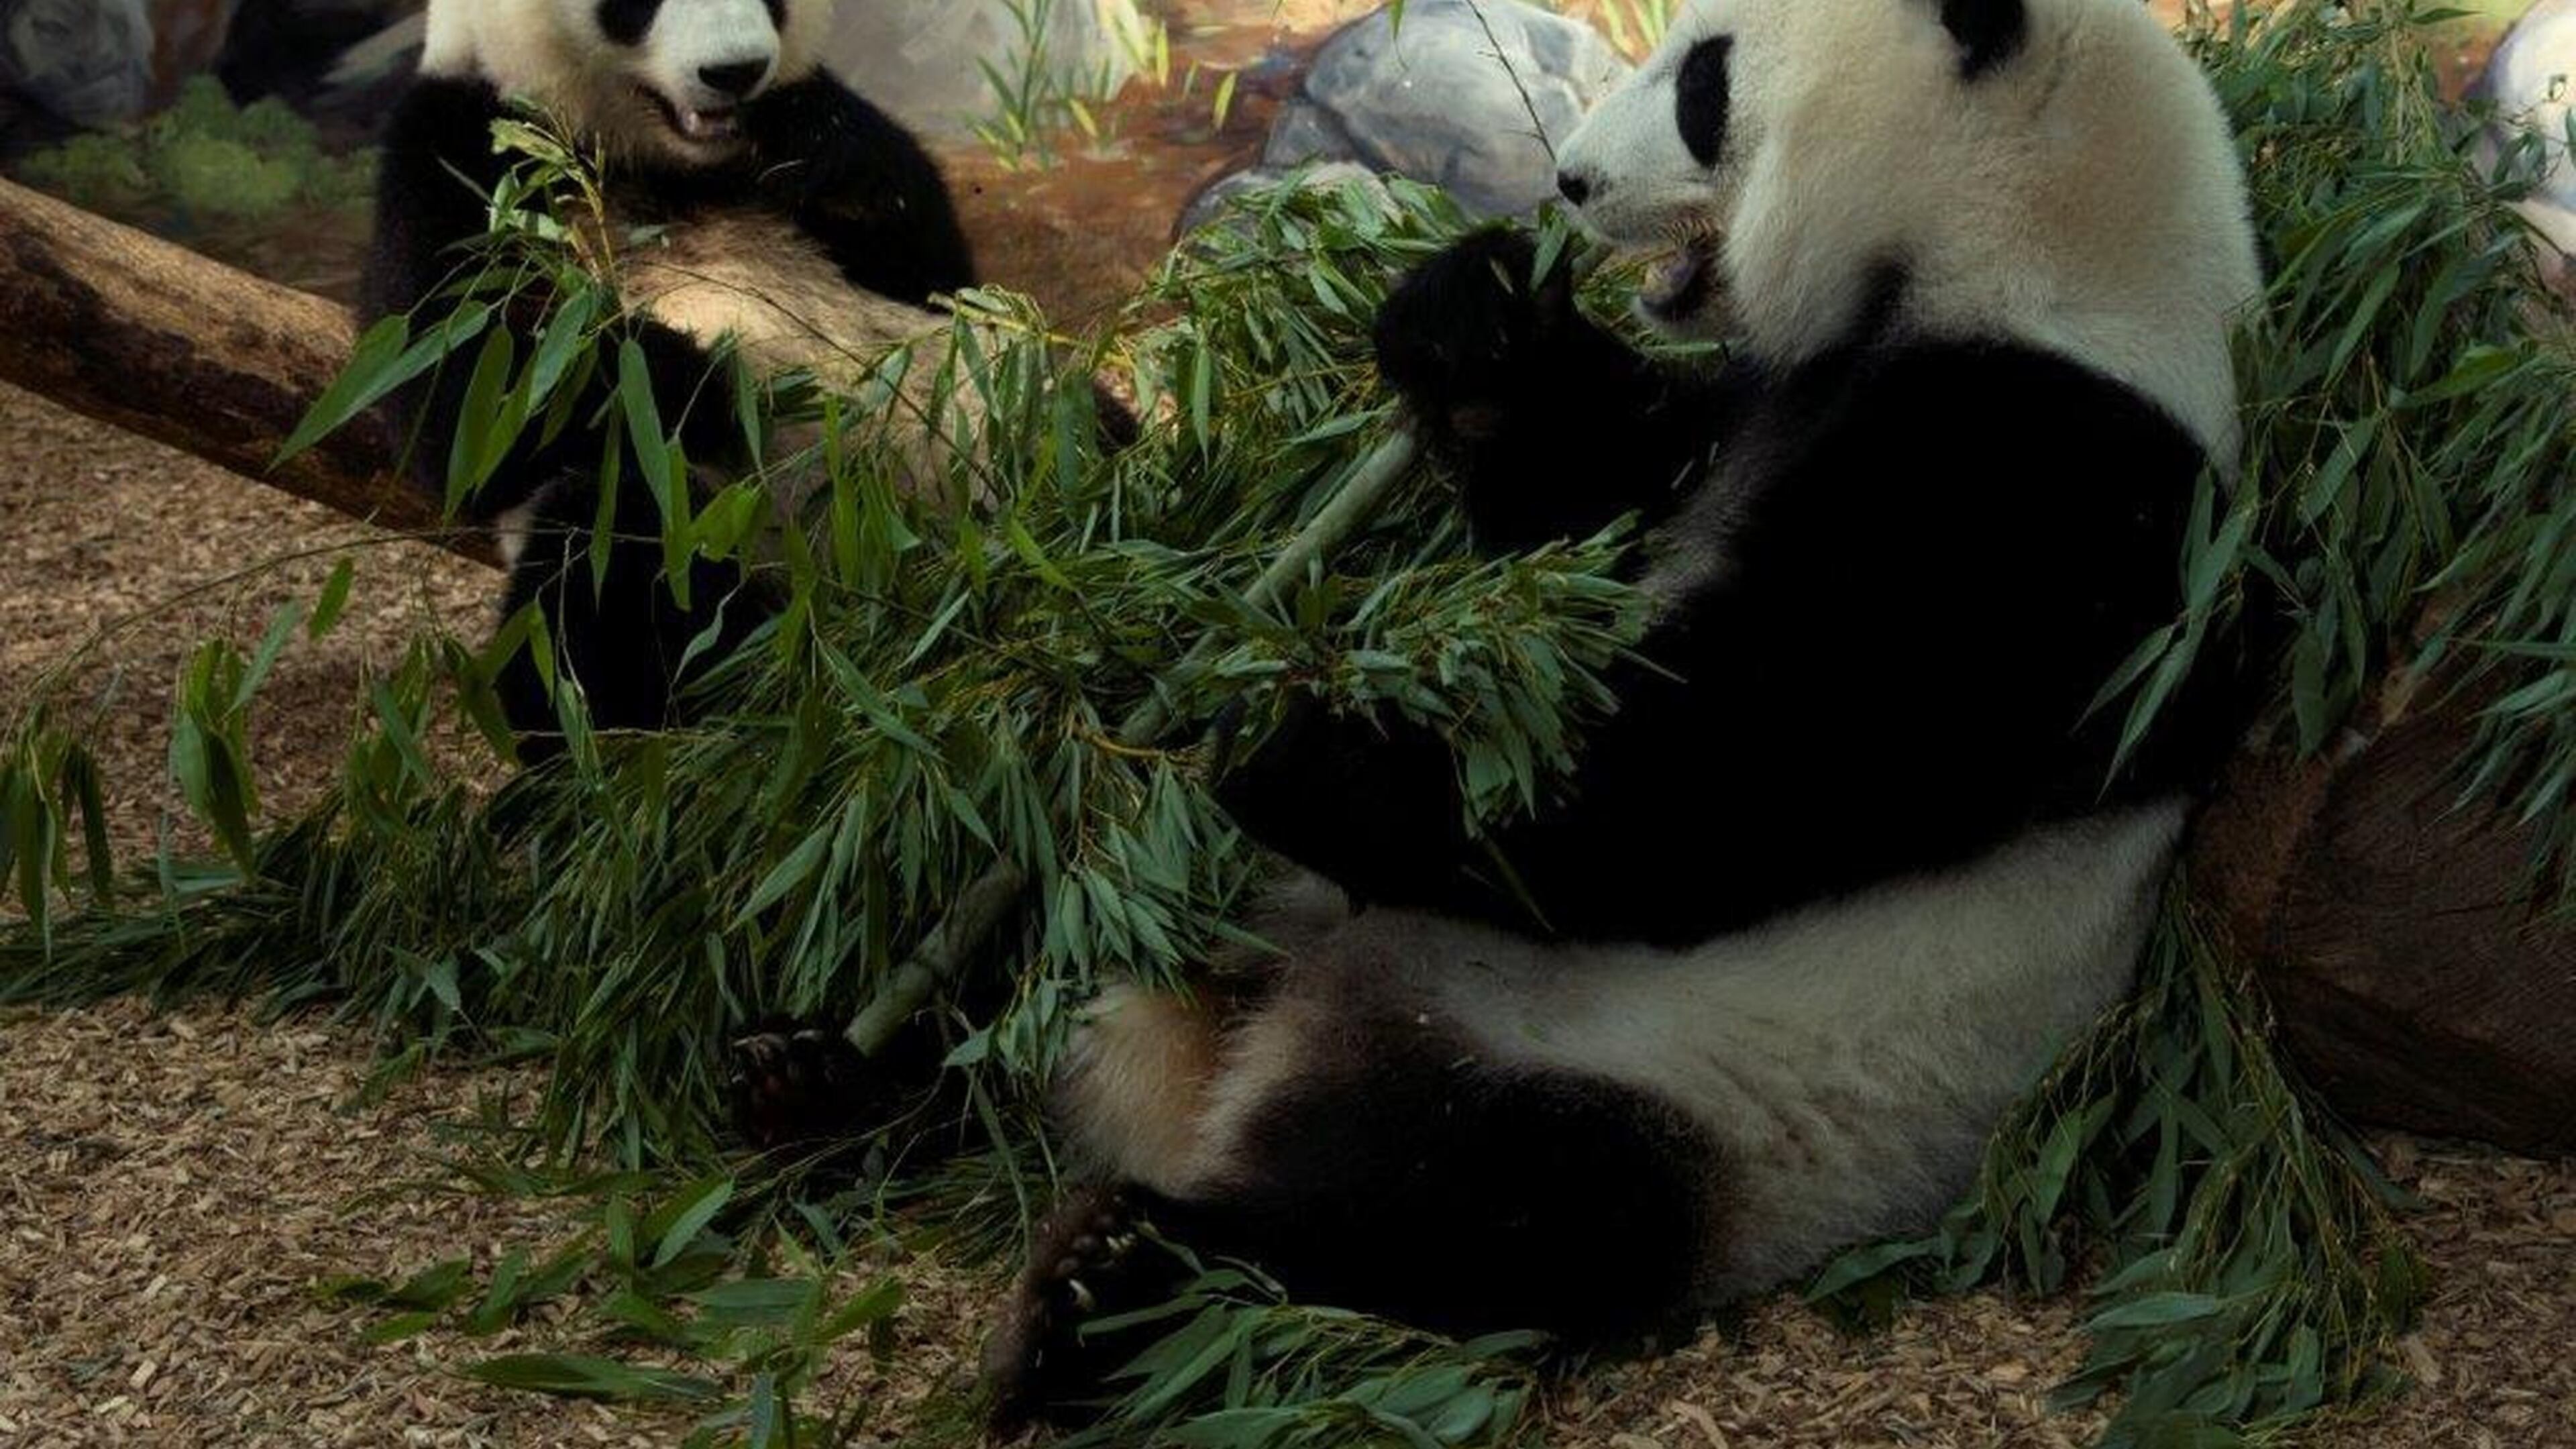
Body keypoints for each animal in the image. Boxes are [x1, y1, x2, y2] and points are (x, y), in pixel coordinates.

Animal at [360, 0, 979, 748]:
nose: (738, 71)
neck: (659, 160)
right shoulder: (457, 149)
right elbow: (460, 402)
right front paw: (705, 380)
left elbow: (941, 276)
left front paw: (825, 151)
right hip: (711, 544)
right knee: (603, 578)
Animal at [980, 0, 2264, 1419]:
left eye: (1705, 81)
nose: (1571, 183)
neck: (2036, 245)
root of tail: (1261, 1040)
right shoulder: (1742, 415)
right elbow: (1585, 505)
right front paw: (1476, 317)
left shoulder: (2048, 493)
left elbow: (1718, 784)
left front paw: (1304, 746)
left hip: (1675, 1097)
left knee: (1470, 1213)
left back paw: (1106, 1284)